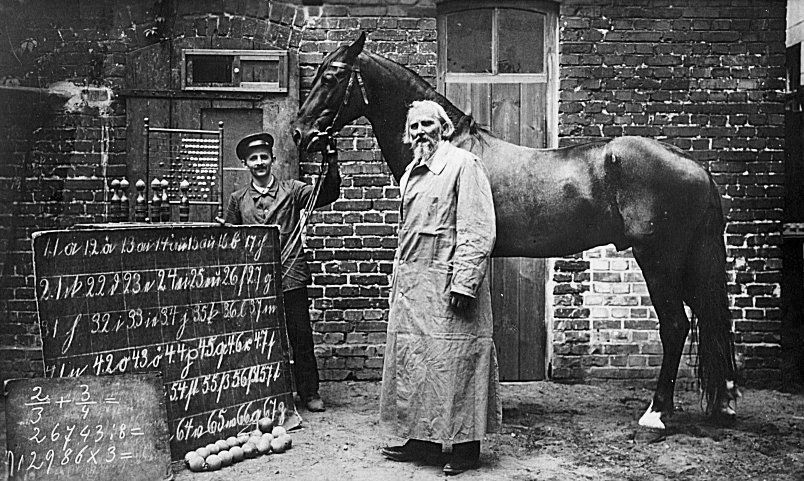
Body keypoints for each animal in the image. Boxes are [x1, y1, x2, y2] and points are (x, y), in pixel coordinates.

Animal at [292, 33, 740, 432]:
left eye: (331, 76)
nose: (300, 133)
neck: (452, 150)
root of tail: (696, 167)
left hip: (659, 260)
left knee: (676, 325)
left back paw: (656, 413)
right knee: (709, 318)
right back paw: (722, 402)